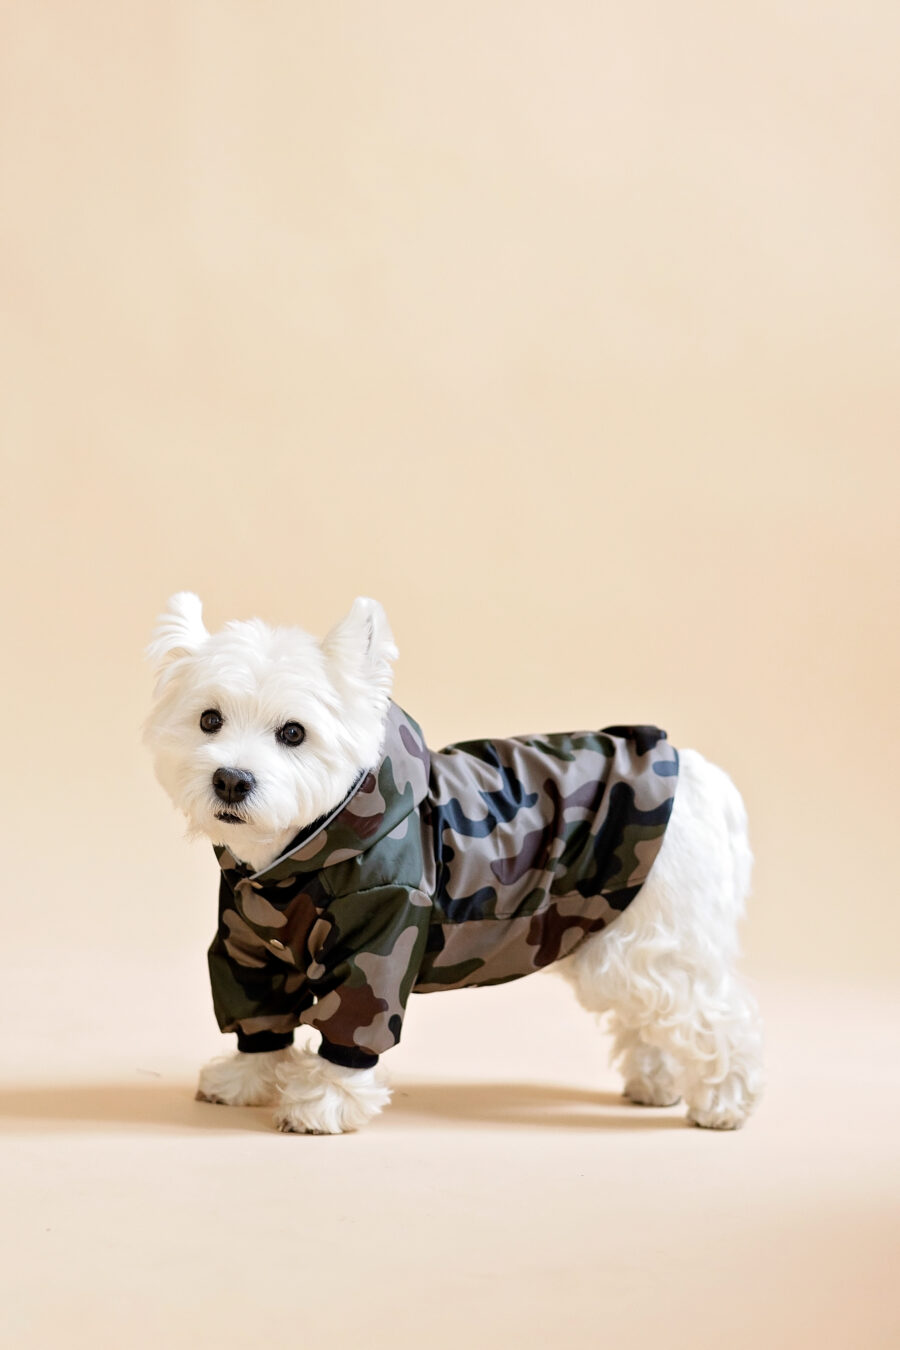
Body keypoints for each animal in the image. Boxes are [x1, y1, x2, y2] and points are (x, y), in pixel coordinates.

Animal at [144, 596, 766, 1134]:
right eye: (208, 720)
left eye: (293, 732)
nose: (231, 779)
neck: (293, 859)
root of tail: (704, 776)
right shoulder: (247, 946)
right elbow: (261, 1016)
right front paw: (246, 1077)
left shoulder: (381, 935)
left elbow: (352, 1024)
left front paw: (323, 1103)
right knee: (653, 1020)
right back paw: (655, 1084)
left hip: (655, 939)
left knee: (716, 1016)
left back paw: (725, 1102)